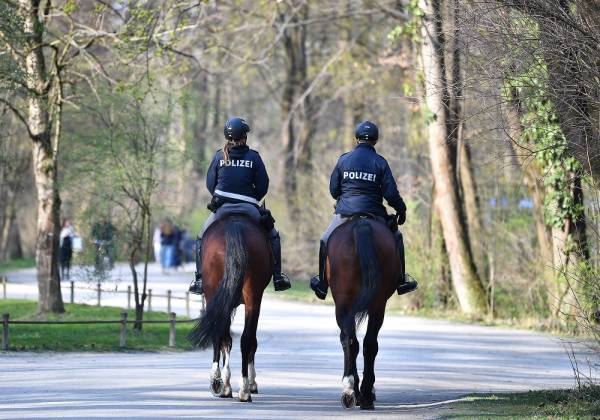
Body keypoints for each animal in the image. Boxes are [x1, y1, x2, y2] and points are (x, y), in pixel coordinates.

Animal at [188, 215, 272, 402]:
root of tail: (235, 226)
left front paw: (226, 383)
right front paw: (249, 383)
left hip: (215, 293)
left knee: (222, 335)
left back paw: (221, 382)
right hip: (252, 297)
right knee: (245, 339)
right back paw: (243, 389)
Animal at [326, 217, 400, 410]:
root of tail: (361, 225)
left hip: (344, 304)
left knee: (351, 340)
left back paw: (352, 390)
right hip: (376, 304)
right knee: (368, 343)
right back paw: (362, 393)